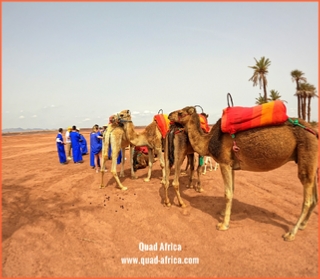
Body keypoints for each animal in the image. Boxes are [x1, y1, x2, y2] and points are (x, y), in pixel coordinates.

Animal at [169, 106, 318, 242]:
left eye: (180, 113)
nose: (170, 115)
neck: (208, 140)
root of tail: (314, 132)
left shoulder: (224, 162)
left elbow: (227, 193)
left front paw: (223, 224)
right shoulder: (231, 165)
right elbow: (232, 190)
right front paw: (223, 213)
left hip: (306, 152)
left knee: (307, 200)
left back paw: (291, 233)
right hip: (311, 162)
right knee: (314, 196)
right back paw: (303, 225)